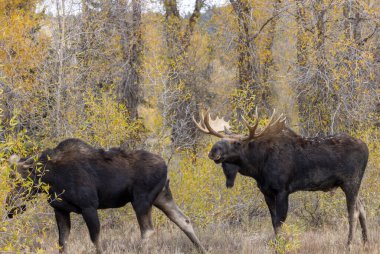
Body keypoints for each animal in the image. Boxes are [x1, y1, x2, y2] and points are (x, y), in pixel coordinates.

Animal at [4, 139, 206, 254]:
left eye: (22, 180)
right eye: (10, 178)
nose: (9, 208)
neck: (52, 178)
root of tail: (166, 167)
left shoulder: (89, 207)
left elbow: (96, 240)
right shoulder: (60, 210)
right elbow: (62, 243)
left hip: (141, 200)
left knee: (147, 231)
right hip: (162, 197)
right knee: (183, 220)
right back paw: (202, 249)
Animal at [193, 108, 368, 246]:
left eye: (237, 143)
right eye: (221, 139)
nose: (213, 151)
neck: (258, 167)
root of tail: (367, 149)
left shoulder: (283, 190)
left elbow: (279, 222)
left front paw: (280, 245)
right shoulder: (266, 192)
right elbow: (273, 221)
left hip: (351, 182)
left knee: (353, 213)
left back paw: (349, 244)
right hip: (349, 184)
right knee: (362, 209)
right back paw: (366, 242)